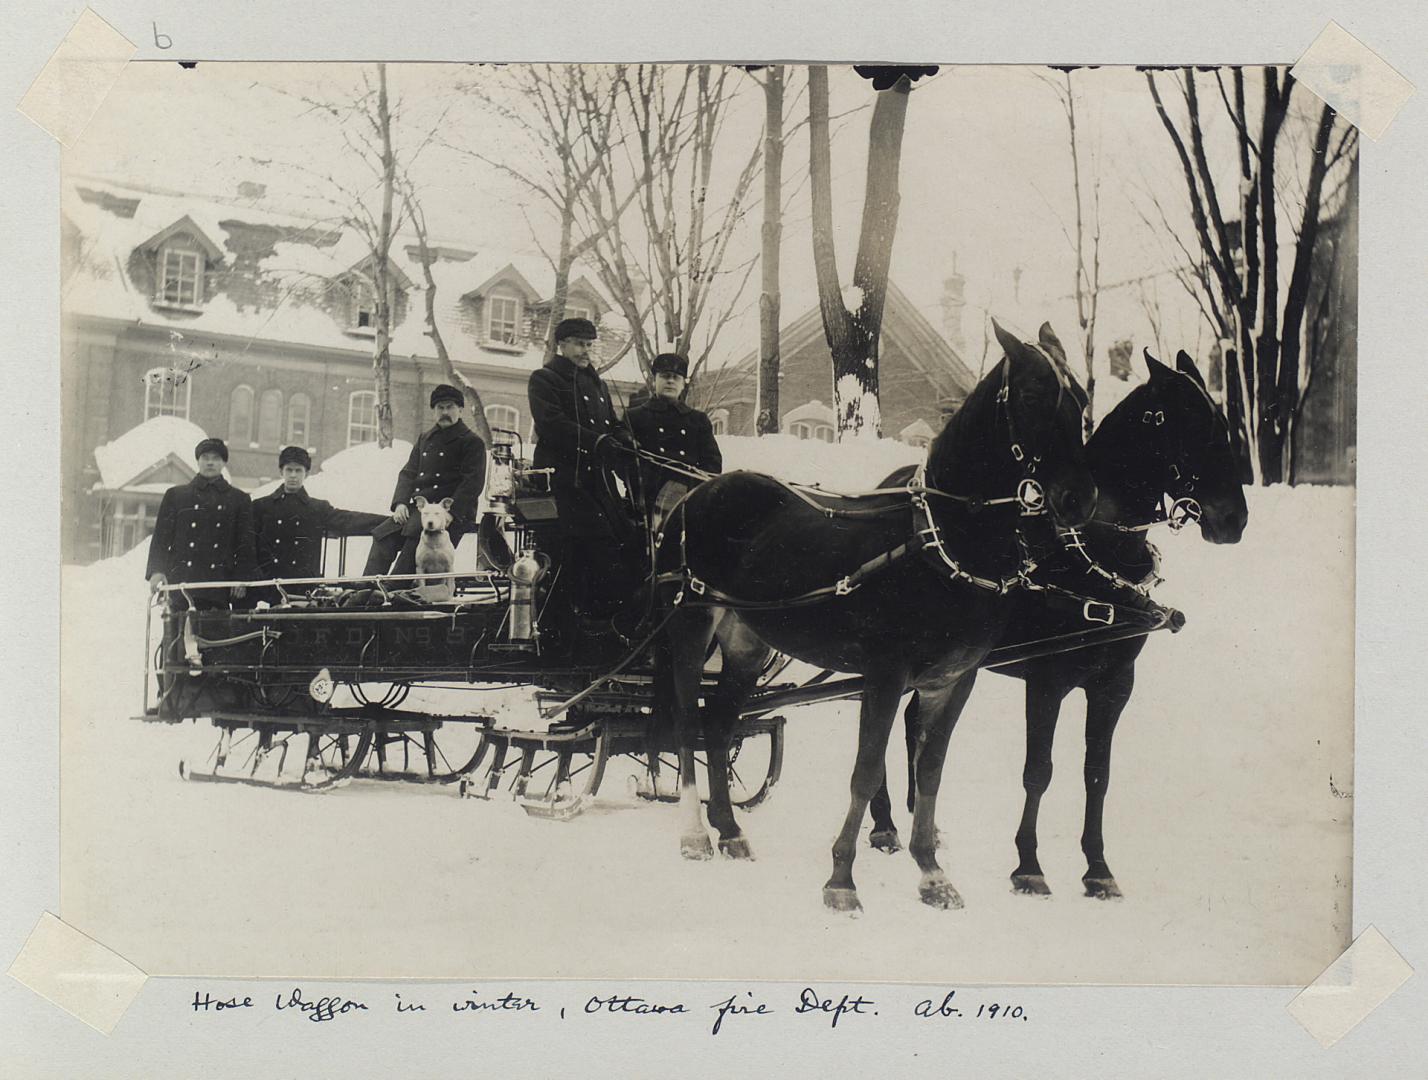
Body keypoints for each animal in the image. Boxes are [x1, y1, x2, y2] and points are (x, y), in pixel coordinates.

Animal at [654, 322, 1096, 908]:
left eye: (1083, 401)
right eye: (1029, 395)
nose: (1079, 498)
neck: (938, 545)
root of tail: (698, 493)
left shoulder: (953, 680)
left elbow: (929, 772)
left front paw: (932, 873)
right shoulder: (885, 676)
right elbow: (865, 772)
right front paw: (841, 879)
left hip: (747, 641)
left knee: (721, 724)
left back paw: (730, 831)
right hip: (690, 624)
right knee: (687, 721)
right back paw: (693, 834)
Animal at [862, 341, 1245, 897]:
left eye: (1219, 421)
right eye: (1190, 423)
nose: (1234, 519)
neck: (1091, 552)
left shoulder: (1114, 684)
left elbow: (1097, 774)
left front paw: (1098, 868)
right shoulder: (1047, 681)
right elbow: (1038, 771)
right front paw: (1029, 865)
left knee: (913, 722)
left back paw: (920, 817)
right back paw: (886, 823)